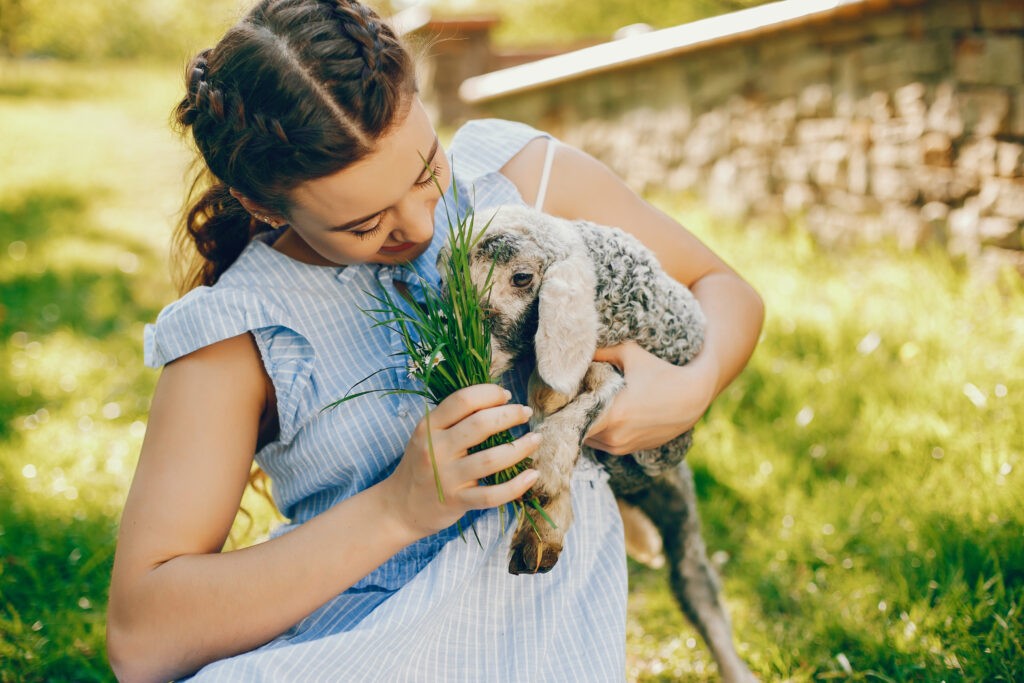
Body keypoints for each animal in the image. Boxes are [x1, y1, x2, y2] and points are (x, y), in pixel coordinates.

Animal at [438, 204, 753, 683]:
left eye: (522, 277)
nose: (460, 354)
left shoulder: (616, 371)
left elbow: (585, 404)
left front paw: (544, 473)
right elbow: (551, 413)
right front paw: (541, 529)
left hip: (679, 512)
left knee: (699, 593)